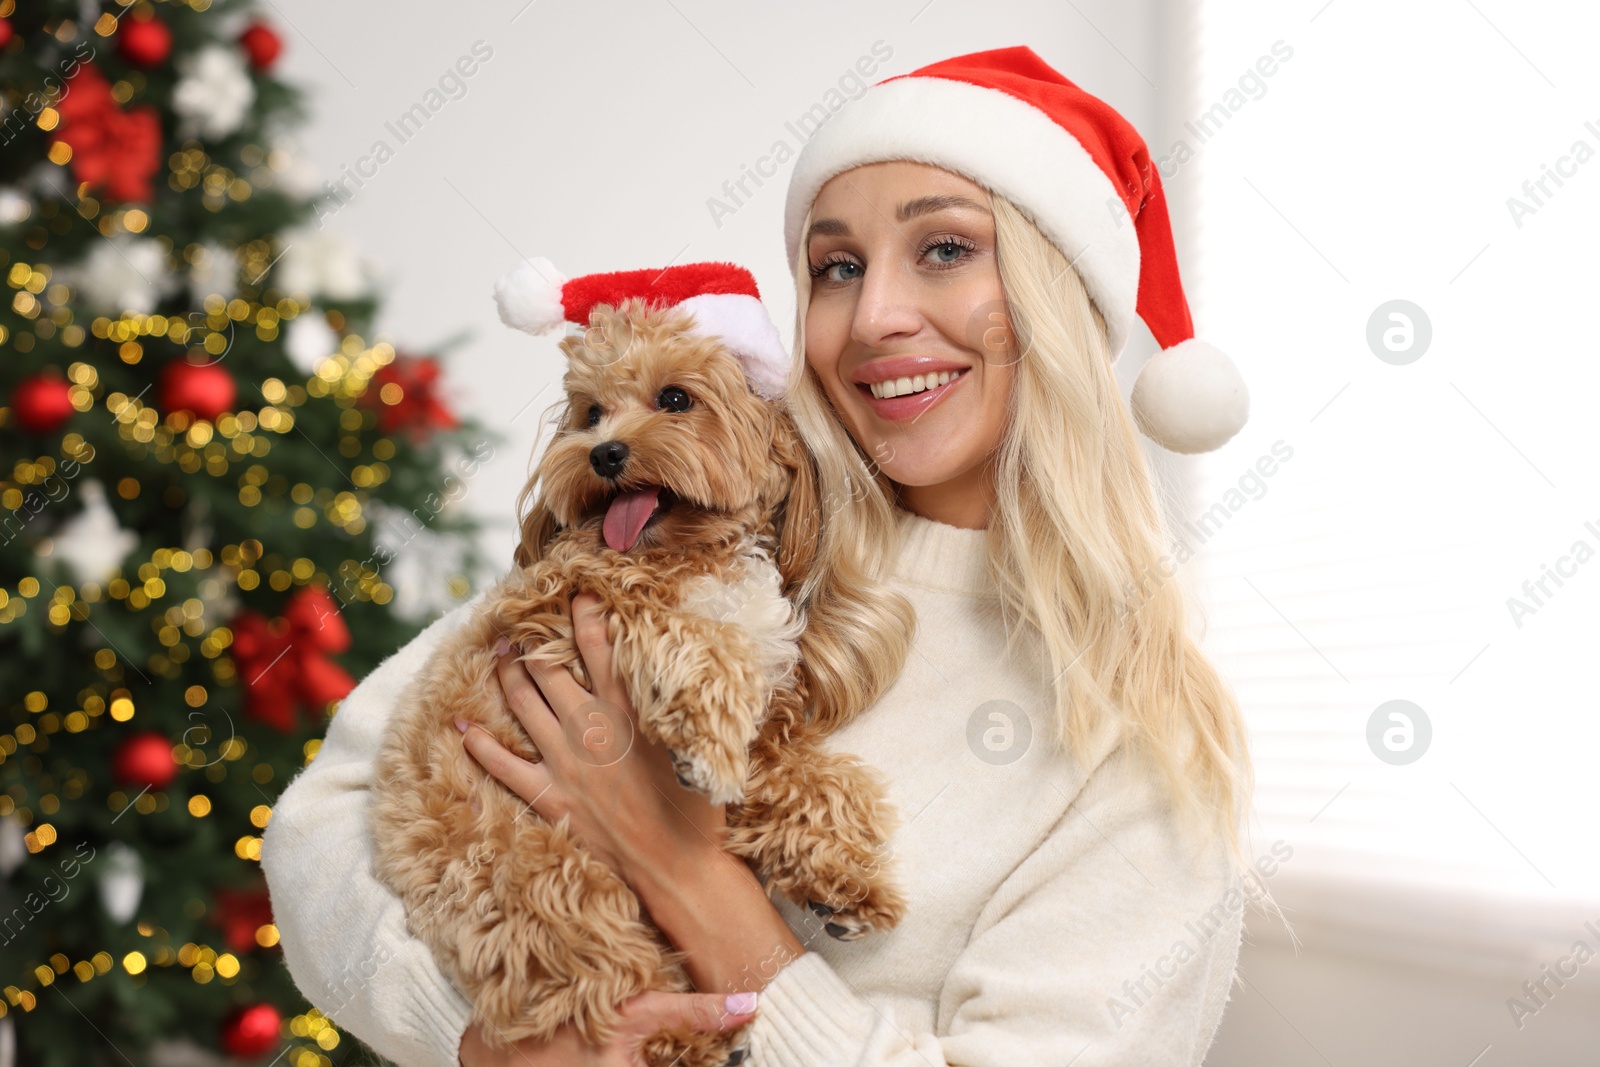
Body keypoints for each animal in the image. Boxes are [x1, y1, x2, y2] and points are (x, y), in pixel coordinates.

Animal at [366, 265, 908, 1062]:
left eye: (675, 399)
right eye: (591, 412)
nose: (604, 454)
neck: (693, 551)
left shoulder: (772, 714)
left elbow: (812, 780)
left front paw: (840, 877)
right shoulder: (564, 604)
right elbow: (700, 645)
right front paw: (706, 750)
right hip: (548, 878)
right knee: (601, 986)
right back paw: (692, 1038)